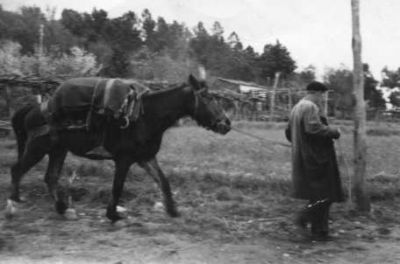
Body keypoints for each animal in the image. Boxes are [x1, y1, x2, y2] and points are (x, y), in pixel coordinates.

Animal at [5, 75, 231, 222]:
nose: (226, 124)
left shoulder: (146, 158)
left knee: (50, 177)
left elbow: (164, 182)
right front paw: (113, 214)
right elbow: (117, 187)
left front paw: (173, 211)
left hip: (58, 150)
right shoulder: (124, 160)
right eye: (208, 98)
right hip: (37, 148)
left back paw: (62, 208)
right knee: (17, 170)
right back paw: (13, 204)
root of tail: (34, 109)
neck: (145, 116)